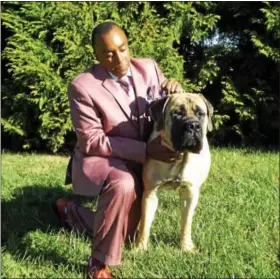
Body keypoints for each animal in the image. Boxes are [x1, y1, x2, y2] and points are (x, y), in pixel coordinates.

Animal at [137, 92, 213, 254]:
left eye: (200, 114)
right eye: (177, 113)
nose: (193, 125)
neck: (180, 156)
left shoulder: (190, 193)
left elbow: (186, 222)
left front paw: (186, 247)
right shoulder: (150, 192)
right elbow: (145, 222)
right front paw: (139, 248)